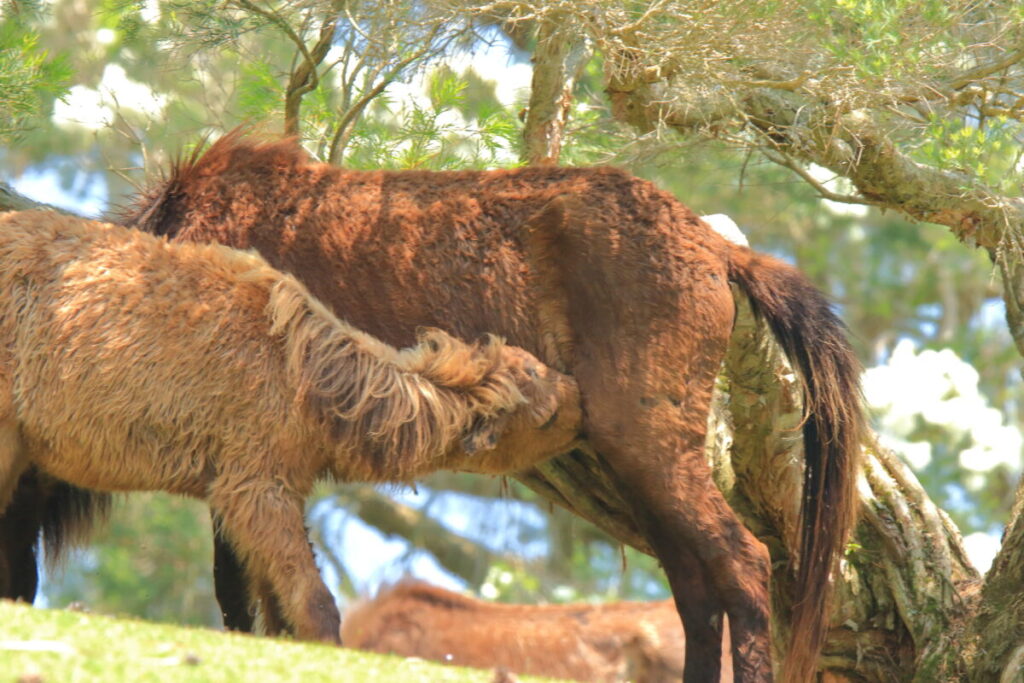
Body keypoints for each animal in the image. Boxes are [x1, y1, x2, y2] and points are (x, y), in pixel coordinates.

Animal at [0, 209, 582, 643]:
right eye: (545, 414)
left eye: (535, 365)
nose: (580, 404)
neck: (306, 375)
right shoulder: (256, 485)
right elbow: (312, 599)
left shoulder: (259, 493)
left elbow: (270, 604)